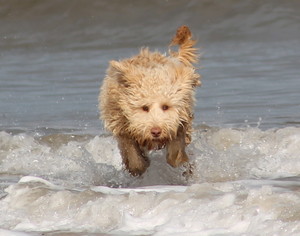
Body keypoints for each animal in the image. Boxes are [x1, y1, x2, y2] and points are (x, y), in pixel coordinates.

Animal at [99, 25, 200, 176]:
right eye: (144, 108)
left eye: (165, 107)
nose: (156, 131)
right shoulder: (121, 124)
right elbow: (132, 154)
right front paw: (138, 165)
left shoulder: (180, 122)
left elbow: (176, 152)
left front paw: (178, 160)